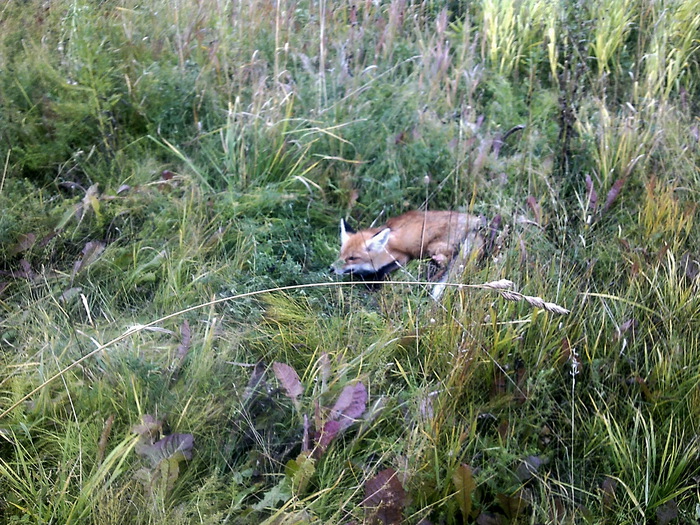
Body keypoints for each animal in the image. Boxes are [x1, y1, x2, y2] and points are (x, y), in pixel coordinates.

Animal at [330, 209, 484, 290]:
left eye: (352, 258)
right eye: (341, 255)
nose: (331, 268)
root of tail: (474, 222)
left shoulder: (402, 257)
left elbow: (383, 271)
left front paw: (372, 283)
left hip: (433, 247)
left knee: (447, 263)